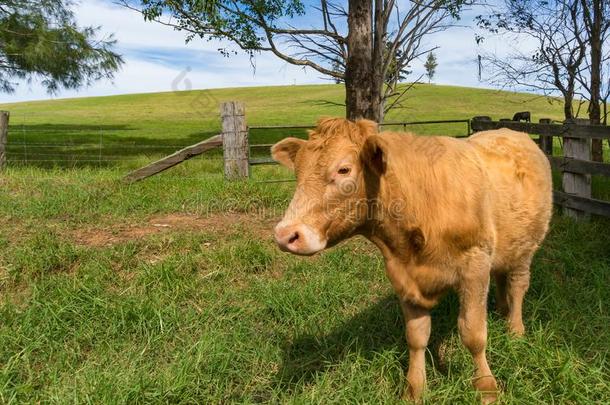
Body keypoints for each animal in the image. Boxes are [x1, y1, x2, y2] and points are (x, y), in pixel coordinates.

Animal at [270, 118, 552, 402]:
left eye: (344, 169)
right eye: (298, 170)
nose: (285, 234)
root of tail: (511, 132)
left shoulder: (475, 267)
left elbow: (473, 334)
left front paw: (486, 388)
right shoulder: (404, 277)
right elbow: (416, 336)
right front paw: (414, 390)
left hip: (527, 247)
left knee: (517, 285)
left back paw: (515, 330)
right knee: (502, 278)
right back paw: (502, 310)